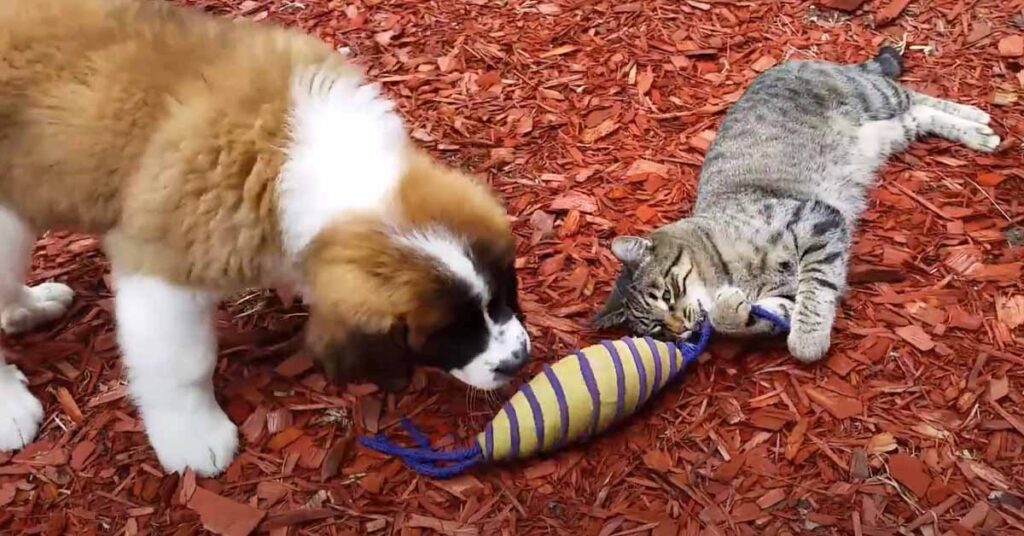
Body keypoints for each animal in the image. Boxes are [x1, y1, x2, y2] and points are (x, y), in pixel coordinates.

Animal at [0, 1, 528, 477]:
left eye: (506, 292)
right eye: (448, 332)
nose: (518, 360)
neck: (300, 153)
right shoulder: (163, 270)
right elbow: (182, 364)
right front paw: (192, 436)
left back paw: (30, 307)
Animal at [593, 46, 999, 362]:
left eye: (666, 294)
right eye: (657, 329)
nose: (680, 329)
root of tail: (796, 61)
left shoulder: (815, 220)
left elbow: (817, 289)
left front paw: (807, 340)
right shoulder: (780, 295)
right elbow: (754, 316)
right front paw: (730, 311)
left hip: (872, 94)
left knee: (913, 95)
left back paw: (977, 121)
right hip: (891, 131)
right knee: (919, 113)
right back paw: (976, 129)